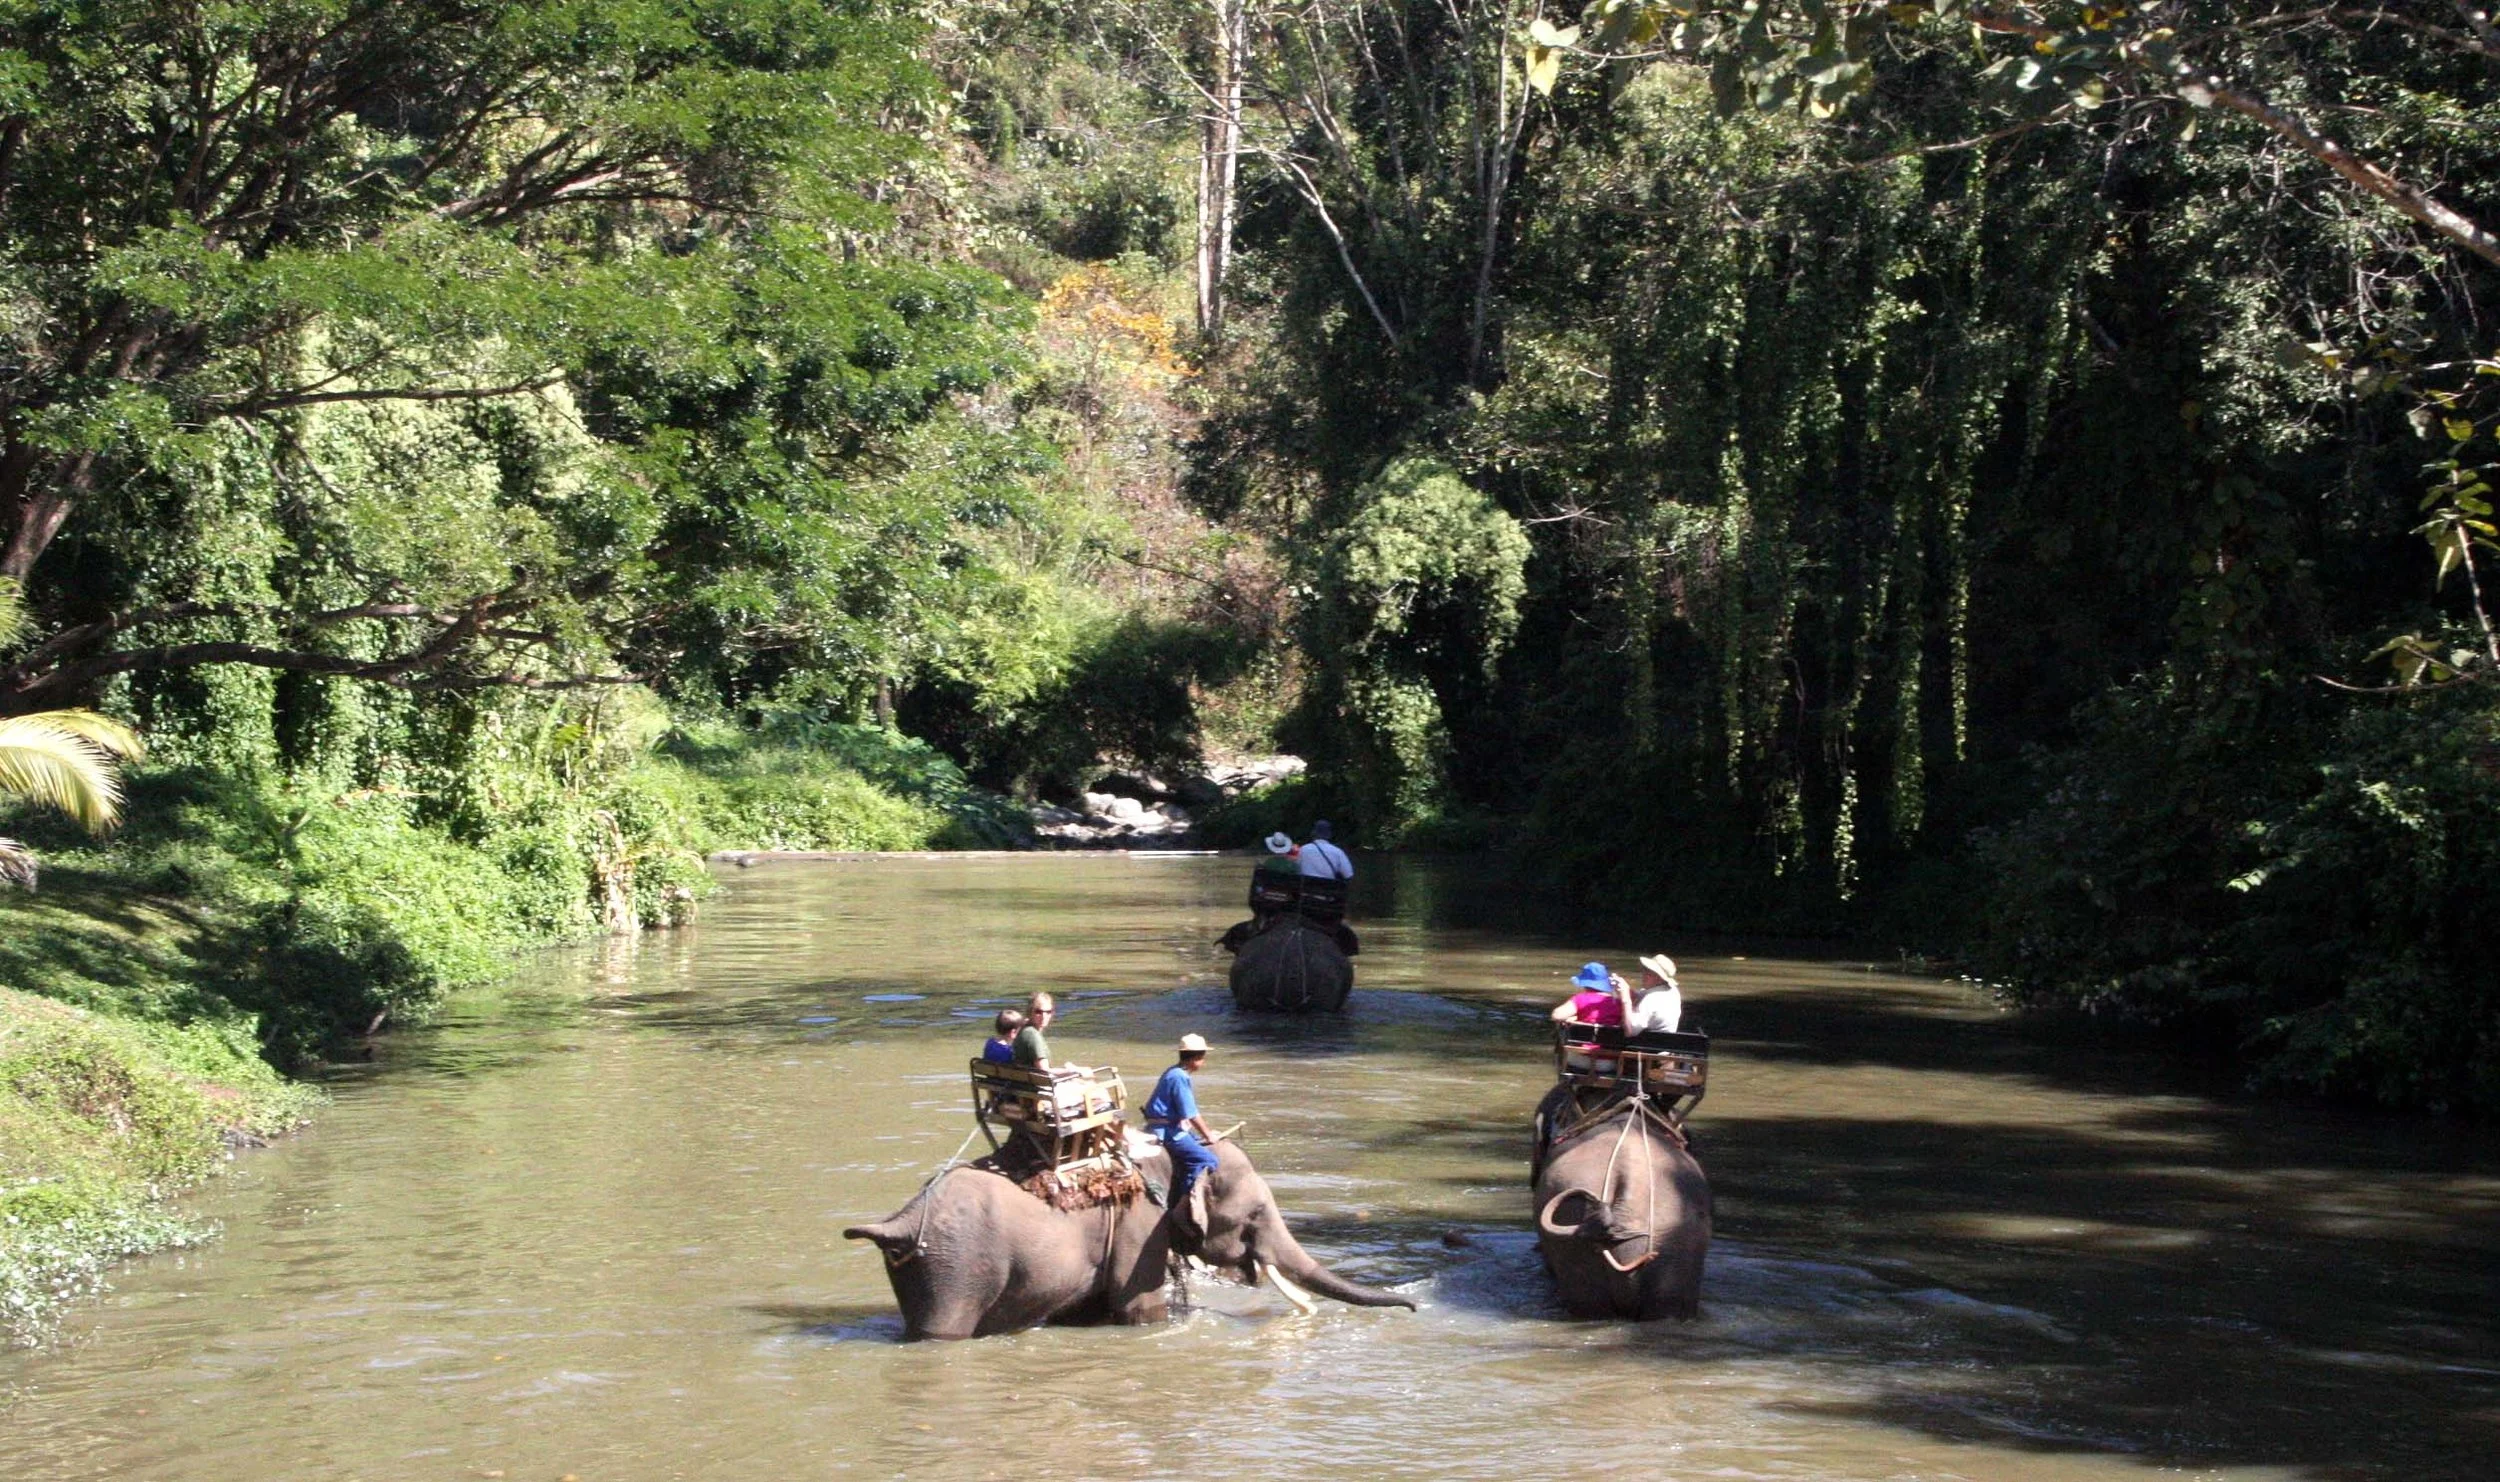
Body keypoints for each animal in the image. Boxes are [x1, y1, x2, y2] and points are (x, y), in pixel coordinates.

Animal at [844, 1137, 1415, 1338]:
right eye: (1254, 1213)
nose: (1413, 1309)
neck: (1170, 1152)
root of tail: (900, 1220)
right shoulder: (1142, 1224)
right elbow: (1137, 1305)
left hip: (926, 1269)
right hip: (956, 1269)